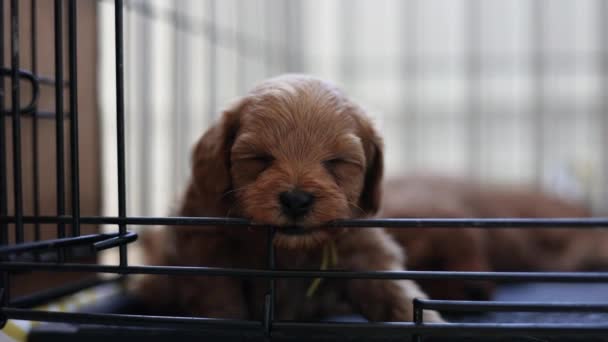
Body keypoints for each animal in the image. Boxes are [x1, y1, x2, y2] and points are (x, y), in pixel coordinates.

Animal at [132, 75, 442, 324]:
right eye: (258, 158)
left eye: (337, 162)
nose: (296, 199)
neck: (290, 251)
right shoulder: (205, 245)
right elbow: (220, 299)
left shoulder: (363, 249)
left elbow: (395, 291)